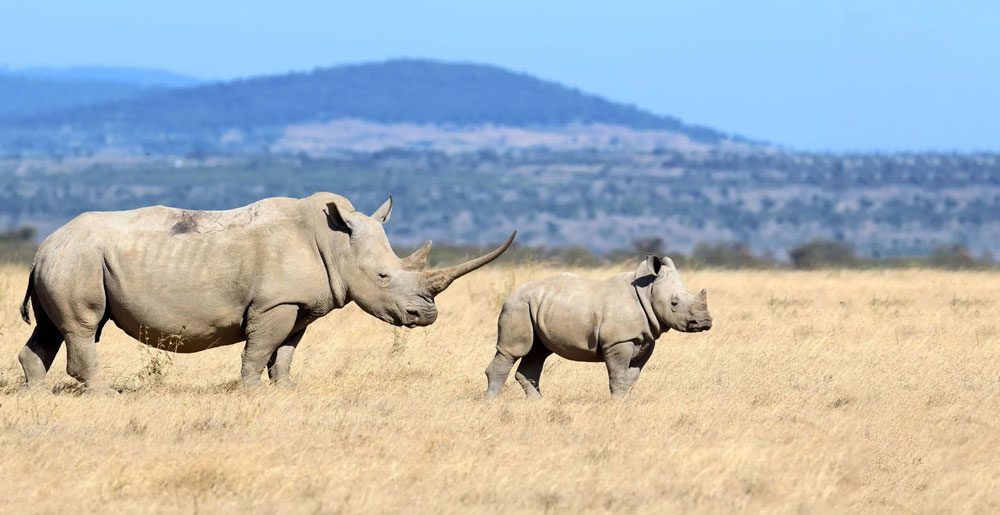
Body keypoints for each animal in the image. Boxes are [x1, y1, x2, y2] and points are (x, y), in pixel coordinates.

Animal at [17, 192, 515, 394]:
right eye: (383, 277)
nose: (426, 316)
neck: (337, 243)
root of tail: (44, 245)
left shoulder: (299, 306)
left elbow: (286, 352)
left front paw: (286, 391)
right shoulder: (274, 303)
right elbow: (258, 350)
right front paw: (250, 392)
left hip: (66, 259)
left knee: (50, 330)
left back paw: (38, 395)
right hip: (78, 259)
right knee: (83, 326)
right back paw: (107, 395)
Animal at [484, 254, 711, 398]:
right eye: (674, 303)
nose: (705, 322)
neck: (648, 291)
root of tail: (511, 295)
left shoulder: (646, 339)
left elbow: (631, 377)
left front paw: (626, 403)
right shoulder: (618, 341)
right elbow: (619, 376)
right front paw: (618, 404)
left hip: (536, 307)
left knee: (537, 353)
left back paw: (537, 404)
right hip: (518, 307)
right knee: (513, 350)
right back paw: (491, 403)